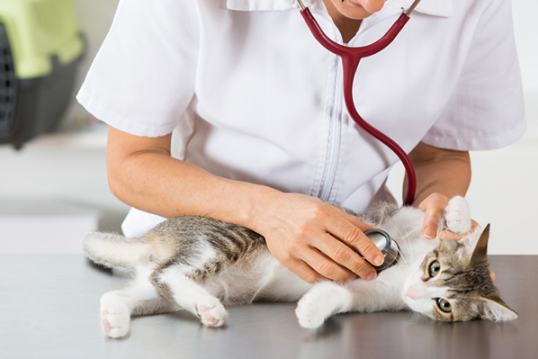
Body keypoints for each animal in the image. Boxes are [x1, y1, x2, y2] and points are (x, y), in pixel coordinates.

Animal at [82, 195, 516, 338]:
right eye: (434, 268)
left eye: (445, 305)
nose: (416, 291)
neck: (400, 271)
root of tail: (154, 237)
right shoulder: (395, 220)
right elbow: (430, 213)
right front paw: (456, 214)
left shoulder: (369, 296)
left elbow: (340, 294)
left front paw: (311, 310)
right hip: (223, 240)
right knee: (169, 273)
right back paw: (207, 308)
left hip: (162, 290)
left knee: (139, 288)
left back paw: (115, 317)